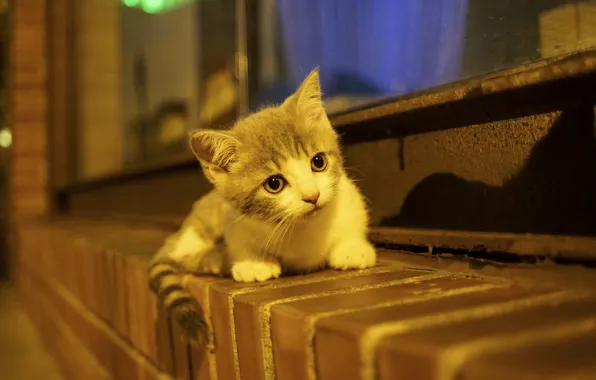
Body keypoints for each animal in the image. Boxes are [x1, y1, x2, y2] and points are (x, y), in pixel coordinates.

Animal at [151, 69, 378, 344]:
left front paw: (352, 248)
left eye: (318, 162)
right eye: (274, 184)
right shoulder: (234, 219)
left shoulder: (348, 198)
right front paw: (253, 263)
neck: (302, 229)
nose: (312, 196)